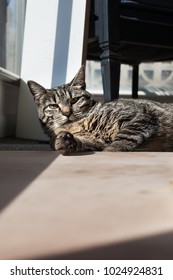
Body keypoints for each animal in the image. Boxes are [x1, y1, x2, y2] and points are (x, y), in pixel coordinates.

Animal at [27, 65, 173, 155]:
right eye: (54, 106)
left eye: (74, 100)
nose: (67, 113)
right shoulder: (95, 142)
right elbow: (82, 143)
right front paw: (64, 141)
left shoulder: (139, 116)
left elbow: (124, 139)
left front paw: (111, 150)